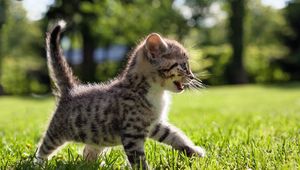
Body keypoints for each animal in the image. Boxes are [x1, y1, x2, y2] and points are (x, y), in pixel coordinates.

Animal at [34, 20, 204, 169]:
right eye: (183, 65)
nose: (192, 77)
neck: (154, 91)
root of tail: (71, 90)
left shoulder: (154, 124)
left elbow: (174, 135)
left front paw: (194, 151)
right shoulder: (132, 133)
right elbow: (138, 160)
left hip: (98, 137)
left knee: (88, 151)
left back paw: (93, 165)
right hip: (57, 132)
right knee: (44, 147)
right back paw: (38, 164)